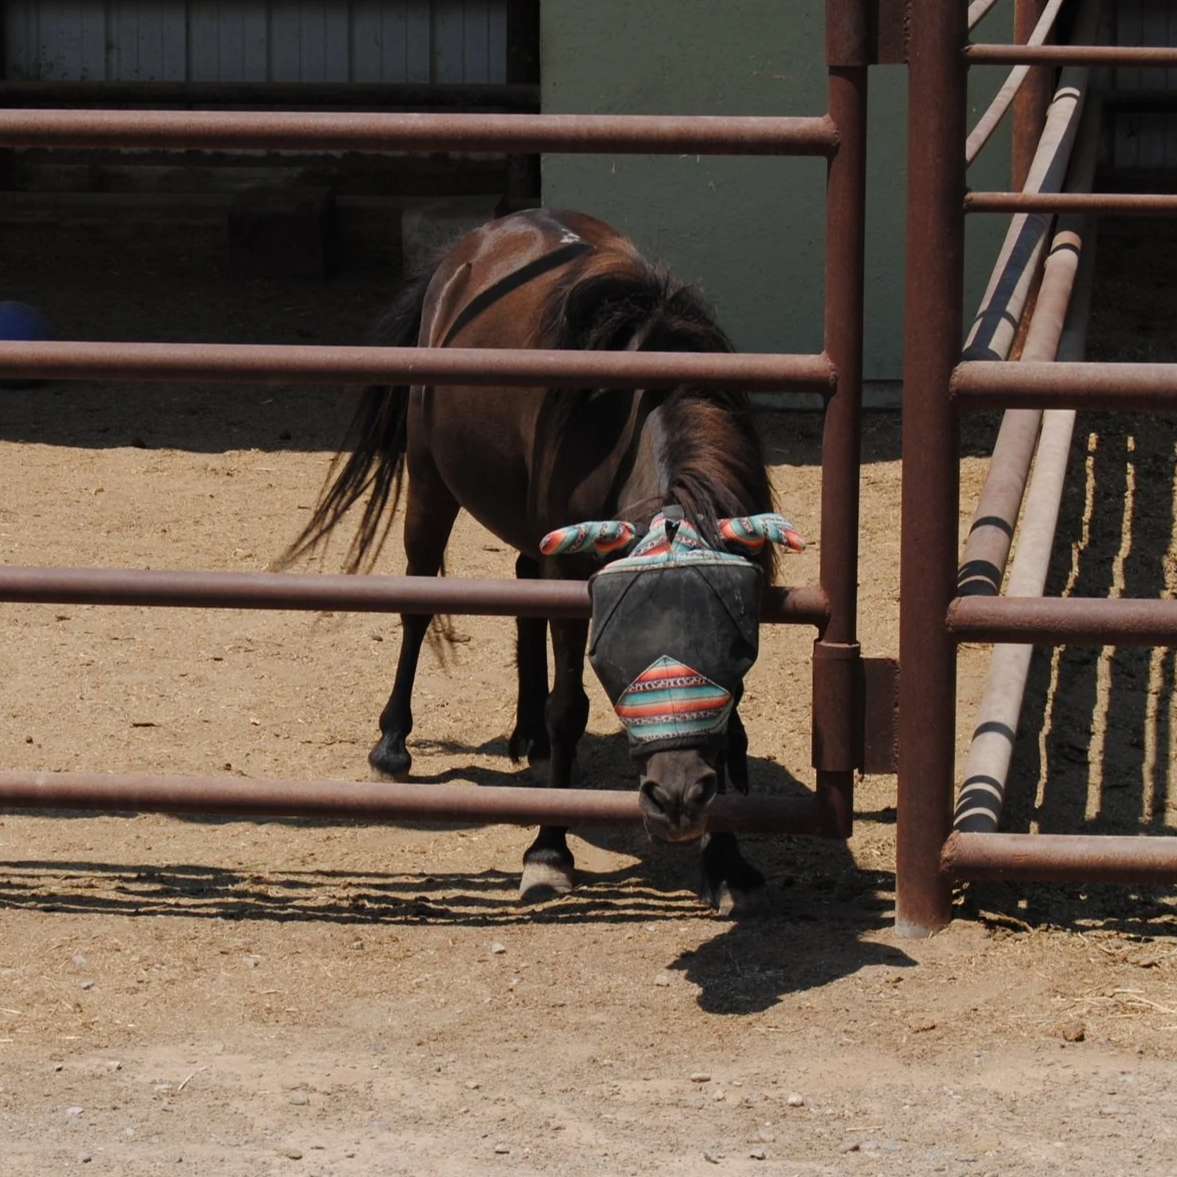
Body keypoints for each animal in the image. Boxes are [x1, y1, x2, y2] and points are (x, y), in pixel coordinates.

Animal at [282, 207, 802, 912]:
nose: (677, 799)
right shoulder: (570, 577)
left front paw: (725, 861)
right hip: (430, 481)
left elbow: (732, 724)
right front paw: (548, 852)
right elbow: (569, 708)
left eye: (734, 642)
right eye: (613, 648)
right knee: (418, 603)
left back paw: (525, 735)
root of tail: (477, 241)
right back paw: (394, 743)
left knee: (520, 587)